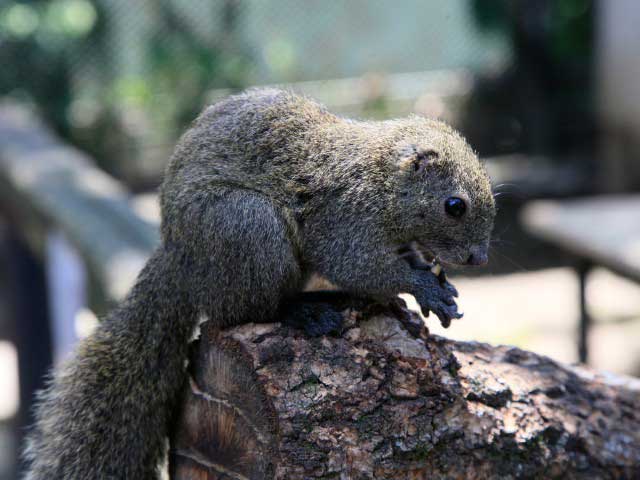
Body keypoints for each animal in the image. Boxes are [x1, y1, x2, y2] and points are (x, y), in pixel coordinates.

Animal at [21, 88, 496, 478]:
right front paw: (423, 288)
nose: (480, 258)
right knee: (243, 311)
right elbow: (360, 266)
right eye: (454, 205)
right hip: (248, 226)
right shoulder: (343, 218)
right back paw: (307, 309)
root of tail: (180, 258)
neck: (382, 179)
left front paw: (438, 286)